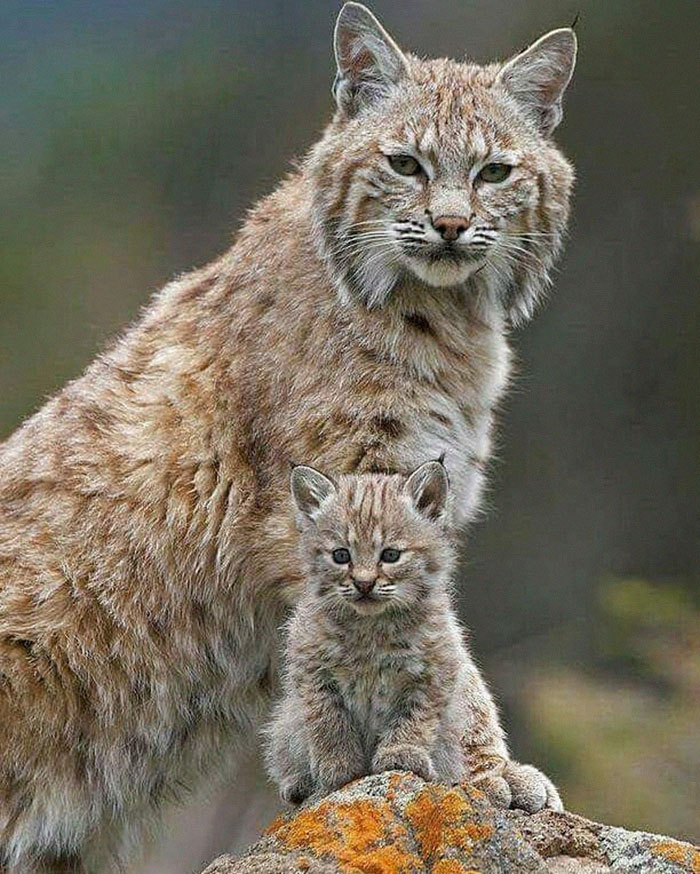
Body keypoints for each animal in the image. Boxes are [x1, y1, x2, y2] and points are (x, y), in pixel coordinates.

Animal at [266, 460, 560, 808]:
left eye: (391, 555)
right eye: (341, 556)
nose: (364, 584)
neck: (371, 627)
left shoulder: (435, 668)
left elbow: (416, 717)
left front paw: (400, 755)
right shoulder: (312, 669)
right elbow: (328, 720)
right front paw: (338, 769)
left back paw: (502, 779)